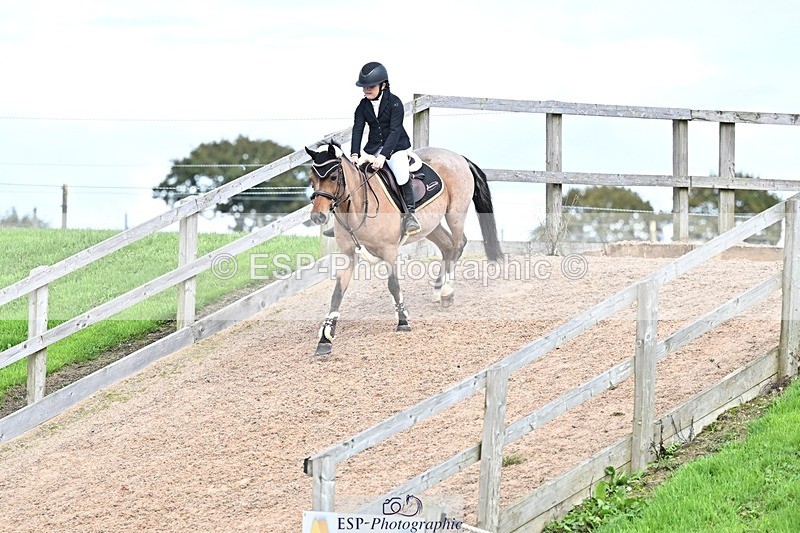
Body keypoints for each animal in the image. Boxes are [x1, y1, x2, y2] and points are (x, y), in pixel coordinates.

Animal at [305, 142, 502, 356]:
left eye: (333, 177)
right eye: (312, 179)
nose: (318, 217)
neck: (356, 209)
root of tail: (457, 156)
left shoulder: (389, 250)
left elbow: (393, 285)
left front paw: (403, 320)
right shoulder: (348, 255)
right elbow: (337, 294)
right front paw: (325, 337)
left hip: (455, 214)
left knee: (458, 244)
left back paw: (446, 292)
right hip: (430, 225)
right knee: (448, 247)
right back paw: (438, 288)